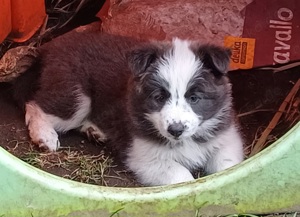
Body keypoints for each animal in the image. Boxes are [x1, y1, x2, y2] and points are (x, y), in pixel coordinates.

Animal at [12, 31, 245, 186]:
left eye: (195, 98)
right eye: (159, 97)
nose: (175, 130)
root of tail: (51, 46)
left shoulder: (227, 141)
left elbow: (228, 167)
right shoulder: (144, 157)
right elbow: (183, 177)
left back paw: (94, 130)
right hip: (76, 96)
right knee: (35, 103)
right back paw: (45, 135)